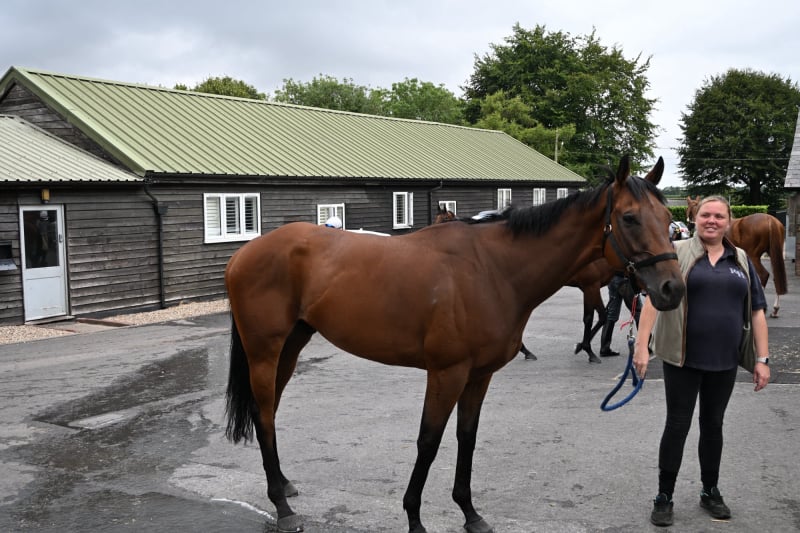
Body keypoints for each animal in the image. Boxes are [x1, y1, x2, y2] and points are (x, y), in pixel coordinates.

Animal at [224, 155, 685, 533]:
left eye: (667, 216)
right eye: (629, 218)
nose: (672, 289)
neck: (492, 270)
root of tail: (244, 254)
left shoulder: (478, 376)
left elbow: (467, 437)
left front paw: (470, 513)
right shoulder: (447, 373)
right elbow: (429, 441)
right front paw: (414, 517)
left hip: (291, 345)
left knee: (269, 412)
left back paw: (284, 486)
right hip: (264, 351)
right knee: (264, 414)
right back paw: (282, 507)